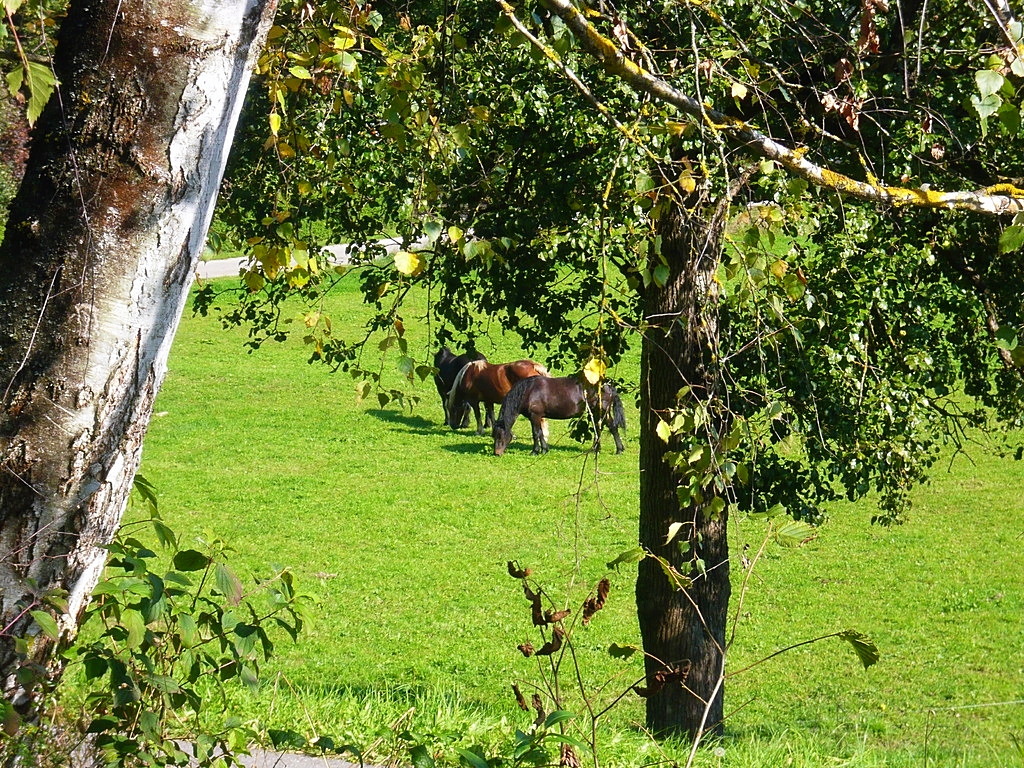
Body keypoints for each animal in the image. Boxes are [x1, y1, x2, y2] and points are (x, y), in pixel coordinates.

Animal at [493, 376, 626, 456]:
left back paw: (618, 450)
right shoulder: (536, 417)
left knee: (611, 427)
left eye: (500, 435)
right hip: (595, 413)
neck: (528, 391)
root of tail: (608, 386)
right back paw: (596, 449)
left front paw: (535, 451)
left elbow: (536, 433)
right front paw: (545, 449)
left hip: (602, 411)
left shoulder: (535, 416)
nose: (496, 453)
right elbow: (540, 433)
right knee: (600, 428)